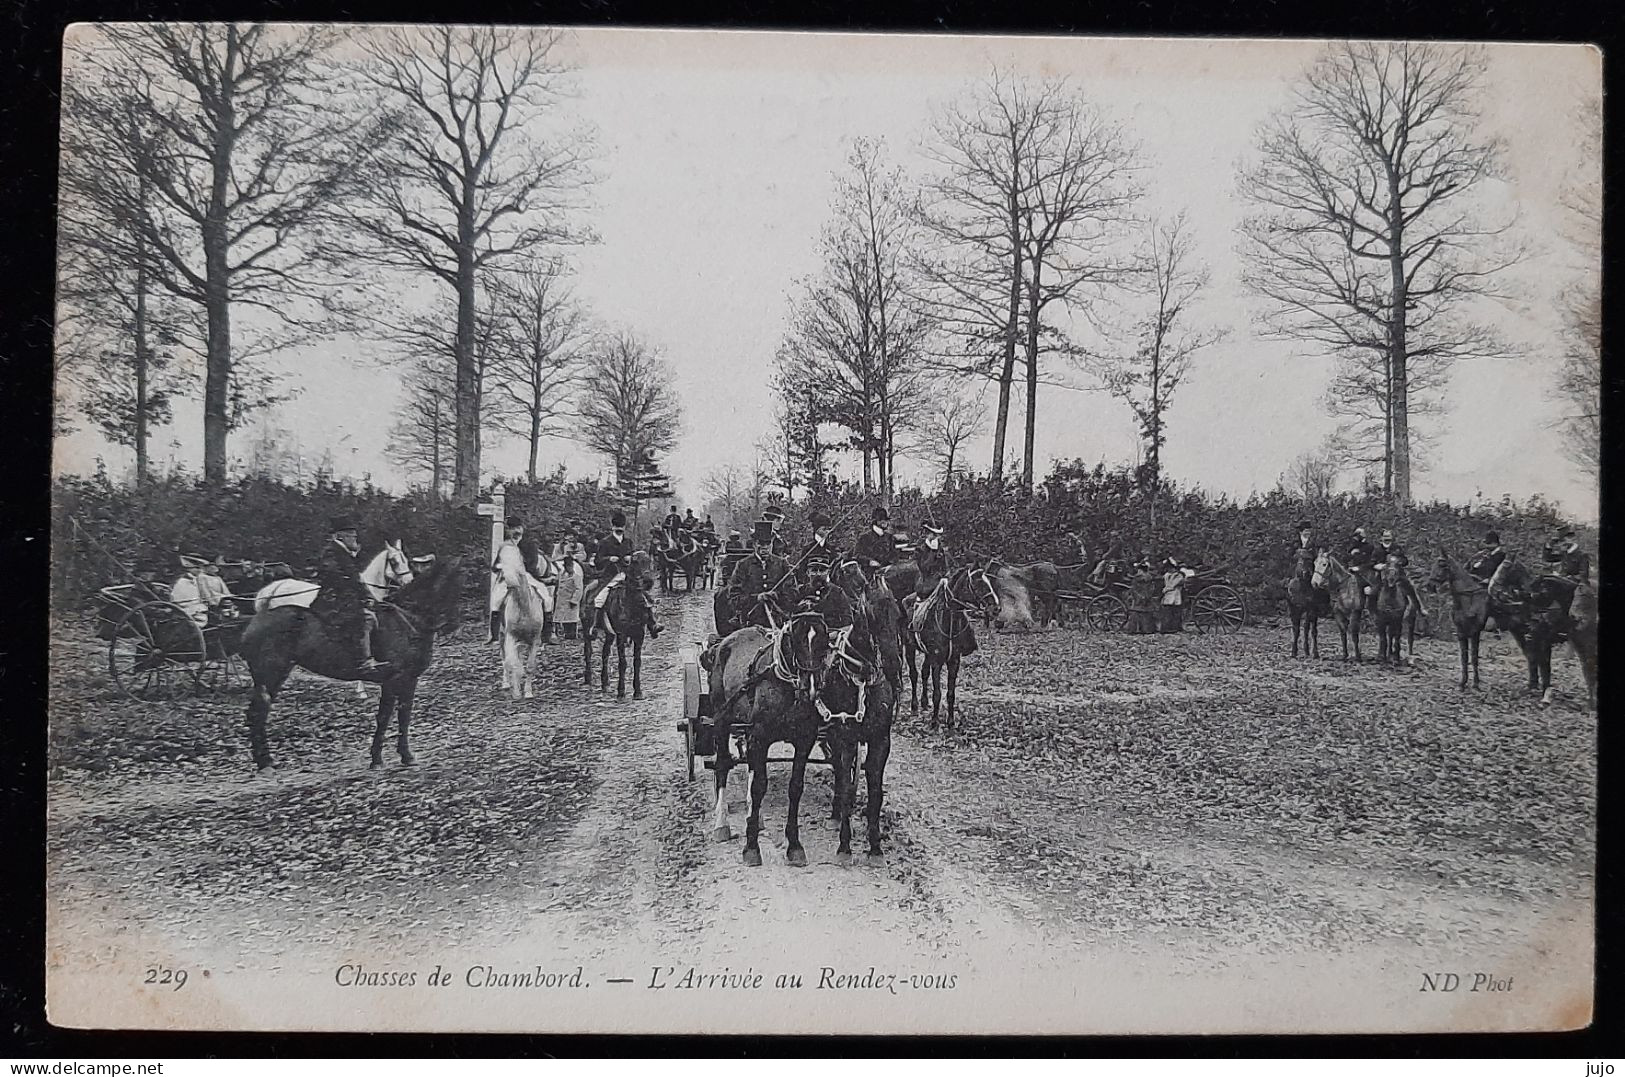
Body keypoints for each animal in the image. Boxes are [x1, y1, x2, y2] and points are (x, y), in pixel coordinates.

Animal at [240, 555, 471, 776]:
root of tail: (257, 620)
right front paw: (391, 758)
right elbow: (391, 717)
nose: (452, 626)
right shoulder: (396, 680)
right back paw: (265, 763)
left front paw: (392, 757)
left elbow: (396, 716)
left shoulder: (405, 680)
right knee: (257, 713)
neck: (408, 618)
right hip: (270, 675)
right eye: (458, 581)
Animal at [494, 542, 546, 705]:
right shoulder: (510, 637)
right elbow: (513, 663)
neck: (524, 607)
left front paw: (528, 692)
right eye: (501, 564)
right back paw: (506, 683)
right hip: (502, 636)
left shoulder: (535, 640)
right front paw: (516, 692)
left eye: (520, 562)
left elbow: (529, 667)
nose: (509, 582)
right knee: (505, 659)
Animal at [588, 552, 656, 705]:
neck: (631, 603)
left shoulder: (639, 634)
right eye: (635, 562)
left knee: (605, 654)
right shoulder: (621, 635)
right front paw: (621, 693)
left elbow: (637, 662)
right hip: (587, 630)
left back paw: (605, 684)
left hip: (609, 634)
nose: (648, 581)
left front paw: (638, 692)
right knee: (588, 652)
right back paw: (588, 677)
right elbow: (623, 663)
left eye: (649, 561)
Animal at [705, 614, 838, 870]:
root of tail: (725, 642)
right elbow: (758, 787)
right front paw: (751, 848)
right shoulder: (760, 737)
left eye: (823, 642)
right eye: (796, 641)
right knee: (723, 765)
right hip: (721, 719)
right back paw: (721, 824)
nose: (811, 688)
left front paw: (794, 846)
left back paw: (753, 816)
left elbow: (795, 788)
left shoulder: (804, 741)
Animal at [1430, 549, 1488, 692]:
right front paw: (1462, 683)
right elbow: (1464, 658)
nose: (1431, 585)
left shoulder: (1475, 632)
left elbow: (1473, 657)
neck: (1467, 600)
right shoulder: (1461, 633)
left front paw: (1476, 684)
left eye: (1442, 564)